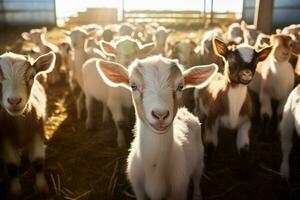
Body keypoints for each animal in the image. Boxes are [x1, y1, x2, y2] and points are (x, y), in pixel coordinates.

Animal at [97, 55, 217, 200]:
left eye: (180, 87)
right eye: (133, 86)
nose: (160, 114)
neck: (154, 172)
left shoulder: (179, 189)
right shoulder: (138, 189)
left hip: (199, 158)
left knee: (197, 177)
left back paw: (197, 195)